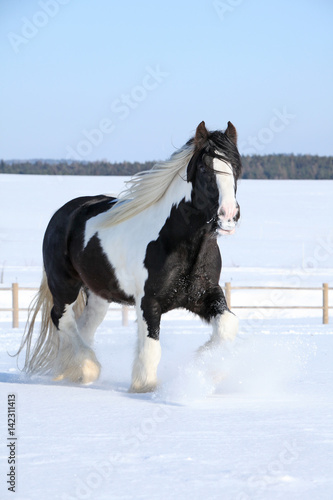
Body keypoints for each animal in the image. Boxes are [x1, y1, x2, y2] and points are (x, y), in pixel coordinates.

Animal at [16, 120, 241, 390]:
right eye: (205, 169)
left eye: (236, 168)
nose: (228, 216)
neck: (180, 244)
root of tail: (63, 213)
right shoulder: (148, 302)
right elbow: (150, 348)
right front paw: (145, 387)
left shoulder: (205, 294)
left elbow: (228, 325)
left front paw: (206, 368)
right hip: (64, 285)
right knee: (61, 318)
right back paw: (87, 368)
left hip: (98, 296)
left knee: (82, 327)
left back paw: (73, 371)